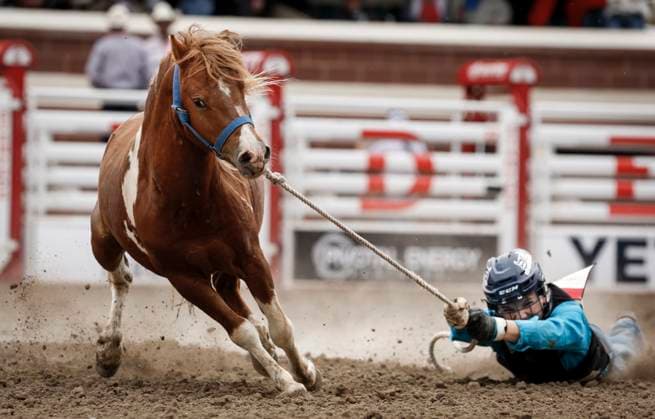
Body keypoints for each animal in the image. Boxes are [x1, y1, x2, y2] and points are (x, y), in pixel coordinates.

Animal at [90, 27, 321, 395]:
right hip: (101, 238)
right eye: (199, 100)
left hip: (227, 266)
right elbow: (241, 331)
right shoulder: (184, 278)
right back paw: (109, 351)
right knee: (120, 279)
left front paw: (304, 372)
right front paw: (285, 381)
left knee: (237, 299)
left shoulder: (251, 255)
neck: (186, 200)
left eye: (240, 89)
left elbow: (280, 324)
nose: (254, 155)